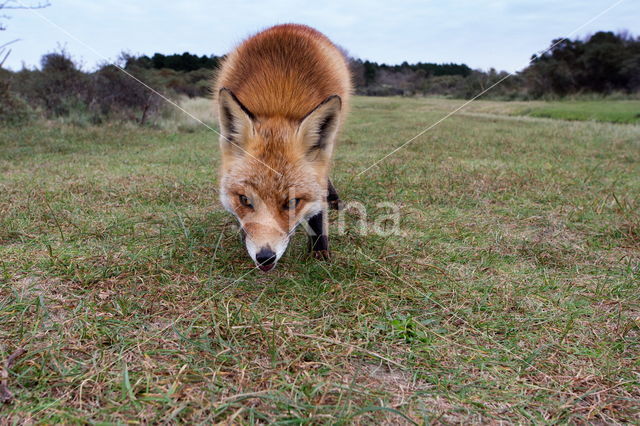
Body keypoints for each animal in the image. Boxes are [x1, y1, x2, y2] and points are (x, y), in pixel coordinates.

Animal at [216, 23, 356, 272]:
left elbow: (317, 207)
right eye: (244, 200)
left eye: (291, 202)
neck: (279, 104)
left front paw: (319, 250)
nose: (265, 257)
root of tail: (291, 25)